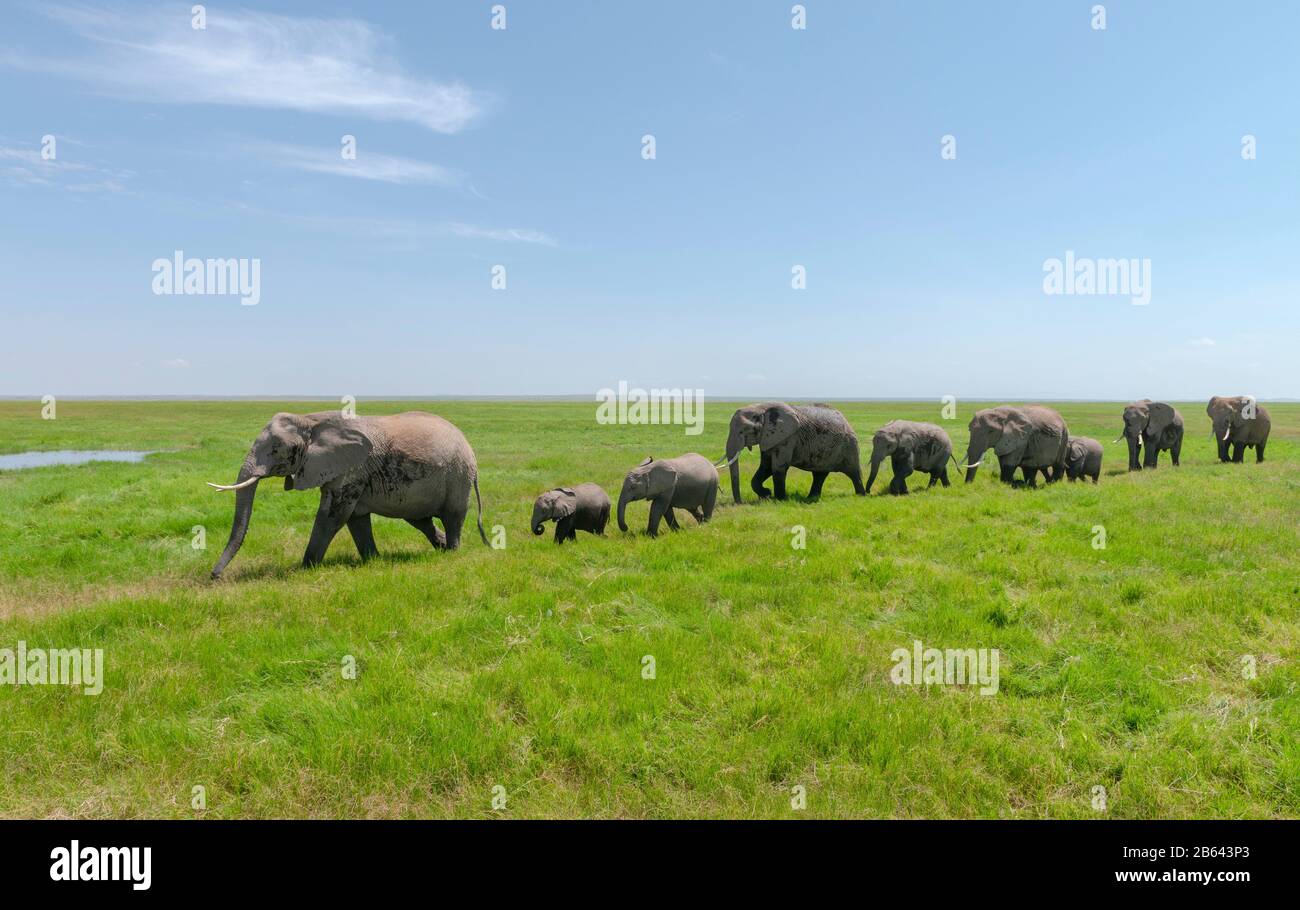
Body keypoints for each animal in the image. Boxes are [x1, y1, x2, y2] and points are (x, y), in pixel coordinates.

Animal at [205, 410, 486, 579]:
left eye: (275, 449)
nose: (214, 576)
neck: (310, 420)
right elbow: (355, 520)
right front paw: (373, 561)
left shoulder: (351, 469)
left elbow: (333, 516)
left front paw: (304, 569)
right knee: (421, 520)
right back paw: (441, 547)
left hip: (458, 475)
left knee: (453, 516)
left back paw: (452, 552)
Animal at [722, 403, 863, 504]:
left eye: (743, 431)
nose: (740, 503)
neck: (761, 408)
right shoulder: (769, 438)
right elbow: (766, 467)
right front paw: (767, 494)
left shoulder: (787, 438)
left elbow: (778, 467)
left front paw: (778, 500)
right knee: (819, 475)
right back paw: (811, 498)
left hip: (849, 446)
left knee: (853, 472)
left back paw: (861, 495)